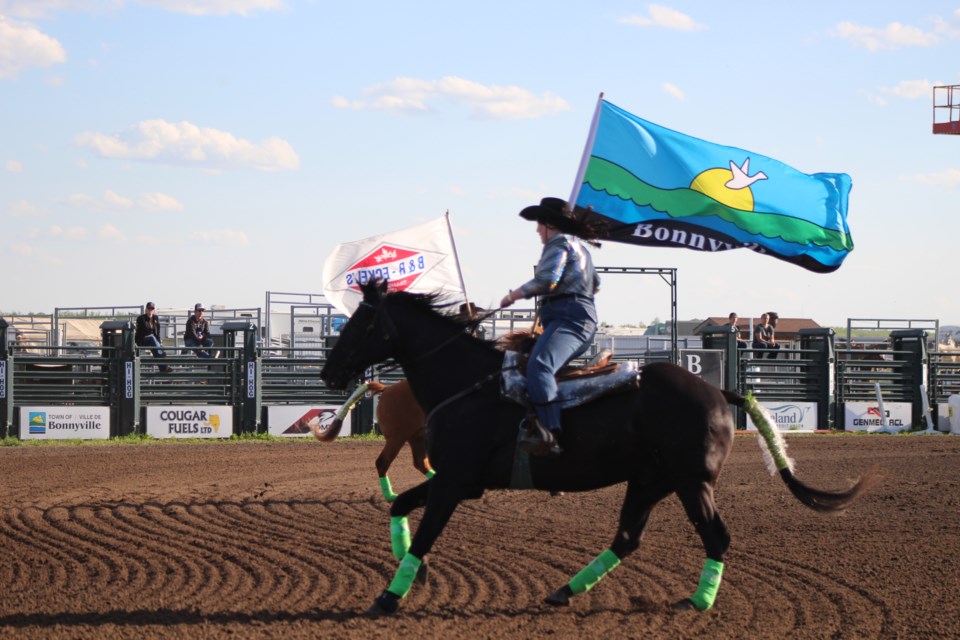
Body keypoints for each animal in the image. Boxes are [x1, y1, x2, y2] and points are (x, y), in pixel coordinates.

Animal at [322, 280, 876, 616]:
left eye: (361, 321)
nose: (329, 371)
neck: (469, 383)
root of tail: (720, 392)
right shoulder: (457, 482)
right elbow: (400, 507)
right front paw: (409, 576)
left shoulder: (455, 483)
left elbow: (423, 534)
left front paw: (388, 597)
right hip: (650, 481)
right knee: (627, 538)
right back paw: (565, 590)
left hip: (691, 483)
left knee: (715, 537)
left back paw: (697, 603)